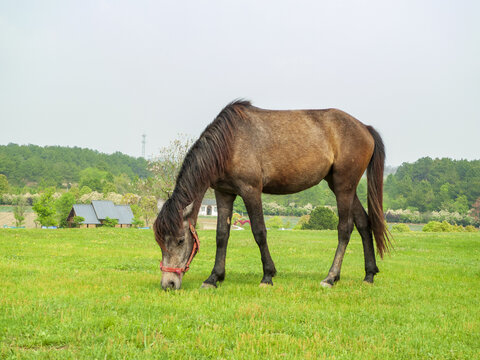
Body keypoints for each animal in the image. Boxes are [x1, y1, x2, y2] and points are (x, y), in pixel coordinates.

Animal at [154, 99, 390, 290]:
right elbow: (222, 235)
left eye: (181, 240)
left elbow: (259, 232)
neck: (230, 142)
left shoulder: (251, 190)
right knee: (363, 223)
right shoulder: (224, 193)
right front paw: (214, 278)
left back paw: (330, 277)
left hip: (344, 186)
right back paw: (369, 275)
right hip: (341, 185)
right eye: (159, 242)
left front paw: (268, 276)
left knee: (345, 228)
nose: (169, 284)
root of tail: (365, 128)